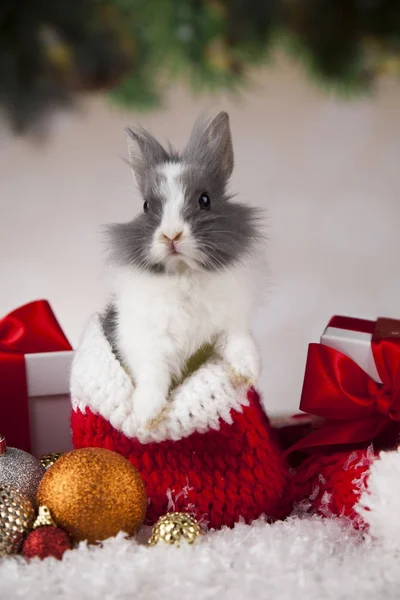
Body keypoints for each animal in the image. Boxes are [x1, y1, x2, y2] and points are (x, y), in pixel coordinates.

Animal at [103, 112, 266, 428]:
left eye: (205, 200)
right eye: (145, 206)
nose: (171, 235)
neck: (184, 274)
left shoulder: (230, 326)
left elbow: (239, 345)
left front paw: (248, 372)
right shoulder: (148, 343)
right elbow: (153, 375)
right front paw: (146, 415)